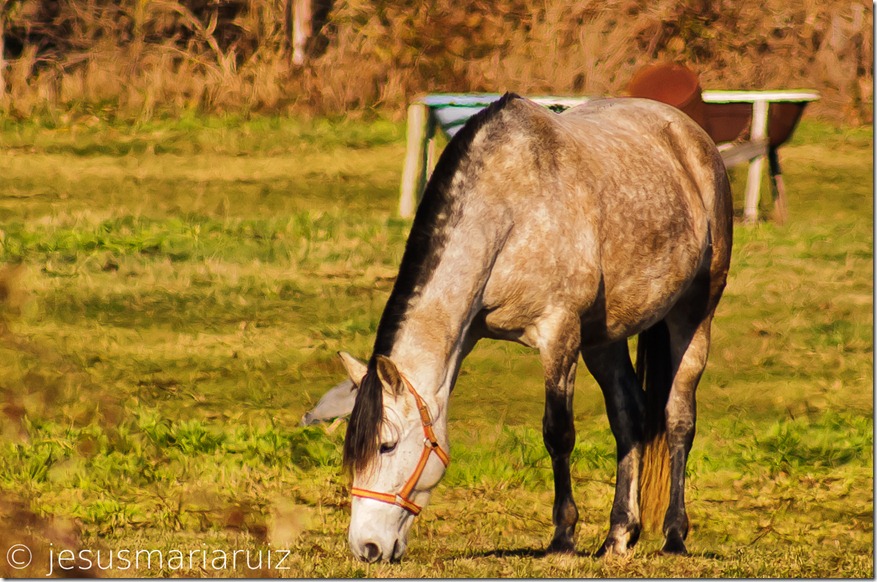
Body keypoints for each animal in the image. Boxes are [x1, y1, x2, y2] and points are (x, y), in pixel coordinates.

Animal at [338, 93, 728, 564]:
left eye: (388, 444)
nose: (366, 546)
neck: (510, 209)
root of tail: (689, 134)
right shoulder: (474, 334)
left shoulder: (559, 333)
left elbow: (558, 433)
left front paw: (563, 536)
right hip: (604, 339)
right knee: (629, 419)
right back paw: (618, 535)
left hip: (694, 315)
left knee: (678, 420)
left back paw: (674, 535)